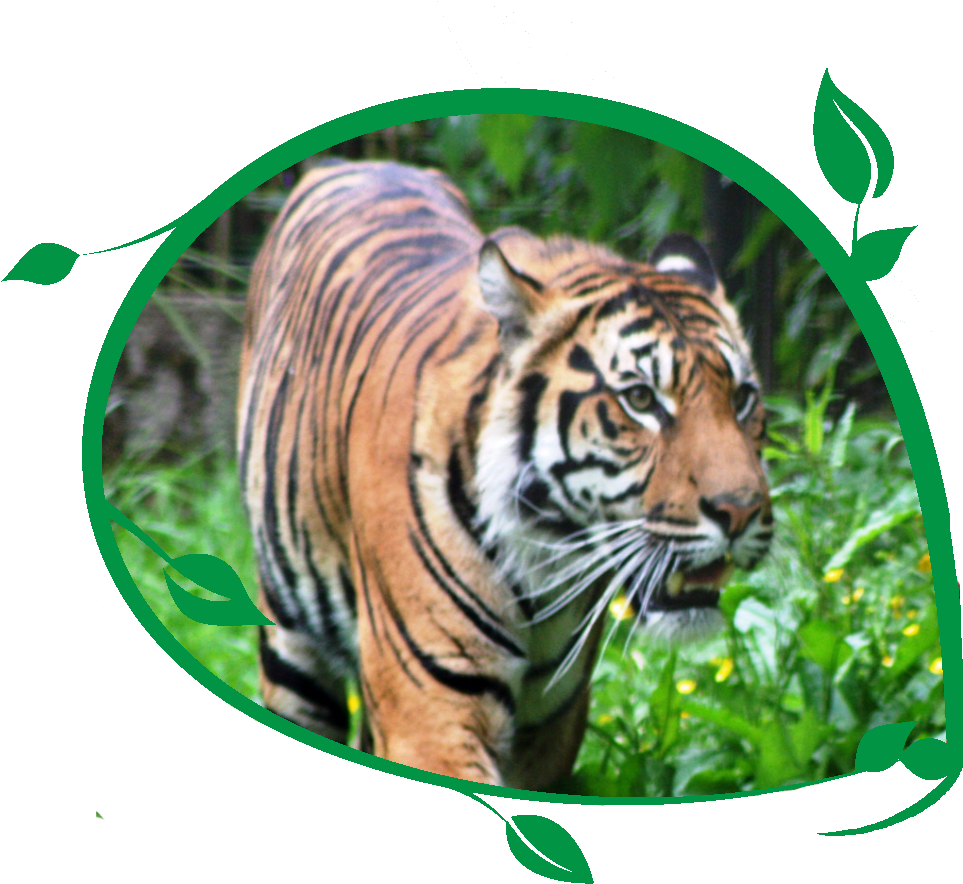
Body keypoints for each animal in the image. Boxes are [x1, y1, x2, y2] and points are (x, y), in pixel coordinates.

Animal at [237, 158, 772, 790]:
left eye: (742, 398)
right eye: (640, 399)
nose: (739, 511)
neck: (549, 559)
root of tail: (353, 162)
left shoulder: (550, 728)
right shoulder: (432, 712)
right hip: (290, 636)